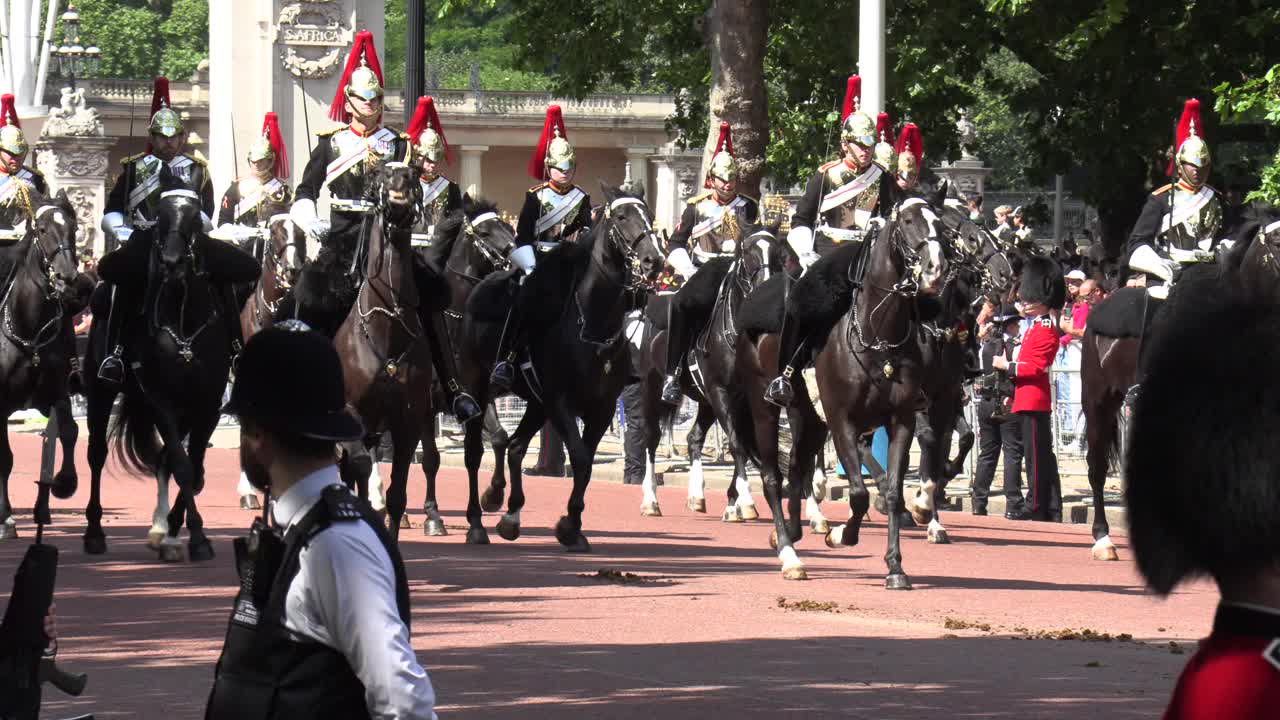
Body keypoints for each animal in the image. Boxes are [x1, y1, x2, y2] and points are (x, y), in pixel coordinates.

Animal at [84, 169, 249, 561]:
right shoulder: (160, 399)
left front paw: (176, 529)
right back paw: (95, 531)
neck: (184, 319)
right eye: (160, 216)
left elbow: (195, 468)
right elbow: (183, 465)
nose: (172, 262)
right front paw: (197, 536)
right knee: (97, 454)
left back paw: (161, 529)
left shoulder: (207, 403)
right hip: (101, 390)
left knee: (161, 460)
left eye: (193, 217)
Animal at [460, 181, 665, 545]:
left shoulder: (601, 409)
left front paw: (573, 524)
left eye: (649, 214)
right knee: (474, 451)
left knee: (515, 447)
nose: (653, 260)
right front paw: (569, 526)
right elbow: (581, 459)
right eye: (622, 216)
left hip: (535, 403)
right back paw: (477, 522)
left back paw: (510, 515)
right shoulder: (561, 403)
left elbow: (586, 463)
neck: (593, 324)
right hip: (478, 387)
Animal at [637, 221, 783, 517]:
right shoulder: (721, 392)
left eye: (778, 253)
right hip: (652, 388)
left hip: (705, 401)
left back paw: (696, 495)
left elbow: (744, 444)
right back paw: (650, 500)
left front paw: (733, 500)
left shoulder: (745, 398)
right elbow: (737, 444)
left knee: (694, 438)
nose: (767, 292)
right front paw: (746, 500)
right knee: (651, 438)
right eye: (747, 251)